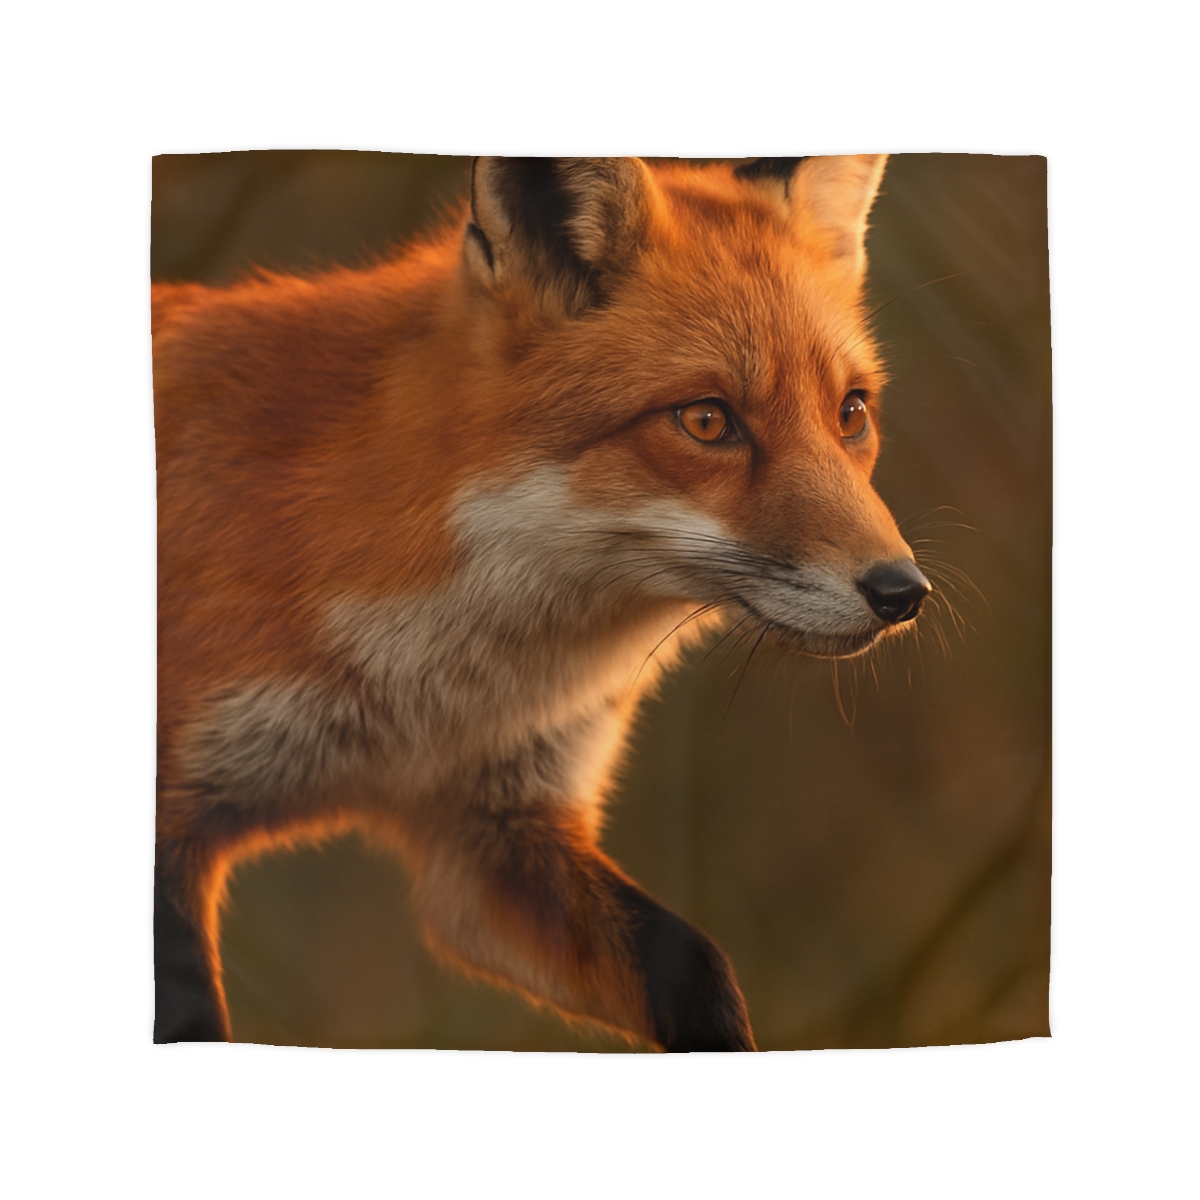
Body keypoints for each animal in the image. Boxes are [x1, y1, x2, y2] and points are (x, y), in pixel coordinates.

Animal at [152, 154, 931, 1052]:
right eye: (707, 420)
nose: (902, 592)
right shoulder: (170, 825)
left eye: (851, 413)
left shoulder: (491, 837)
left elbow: (697, 971)